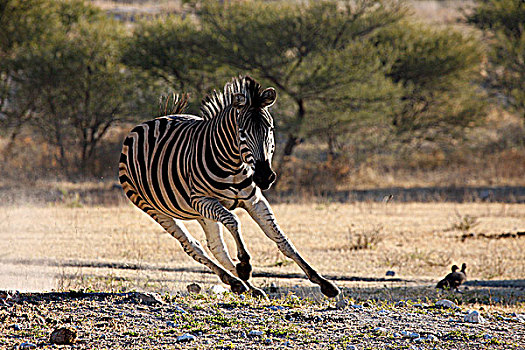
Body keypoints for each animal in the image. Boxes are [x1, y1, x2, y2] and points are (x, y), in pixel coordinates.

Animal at [118, 76, 340, 298]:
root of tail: (155, 119)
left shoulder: (254, 200)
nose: (265, 176)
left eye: (270, 129)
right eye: (242, 132)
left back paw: (245, 286)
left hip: (201, 214)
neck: (233, 164)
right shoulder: (201, 199)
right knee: (192, 246)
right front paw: (244, 264)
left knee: (217, 247)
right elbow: (233, 221)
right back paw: (235, 279)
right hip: (155, 209)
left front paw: (323, 282)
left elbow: (281, 238)